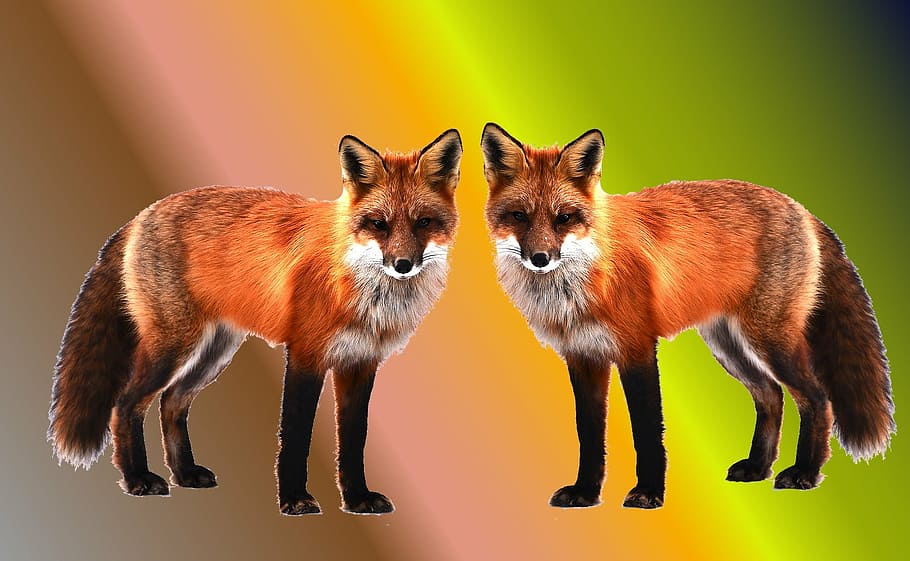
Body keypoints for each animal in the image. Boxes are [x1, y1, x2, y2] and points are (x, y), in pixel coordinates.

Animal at [48, 129, 463, 515]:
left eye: (424, 222)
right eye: (378, 224)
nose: (402, 265)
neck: (359, 287)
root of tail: (142, 215)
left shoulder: (360, 363)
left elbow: (353, 440)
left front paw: (357, 499)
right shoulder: (306, 355)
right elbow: (296, 435)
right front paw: (294, 500)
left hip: (214, 353)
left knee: (172, 402)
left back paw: (185, 474)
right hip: (173, 348)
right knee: (126, 403)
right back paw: (137, 478)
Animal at [481, 122, 893, 509]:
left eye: (564, 218)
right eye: (519, 216)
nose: (540, 258)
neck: (582, 283)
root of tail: (800, 208)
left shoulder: (637, 349)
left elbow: (646, 431)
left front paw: (648, 493)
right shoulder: (583, 357)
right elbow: (589, 434)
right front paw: (585, 493)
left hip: (770, 340)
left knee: (817, 398)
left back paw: (805, 472)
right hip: (728, 346)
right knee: (771, 396)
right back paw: (758, 468)